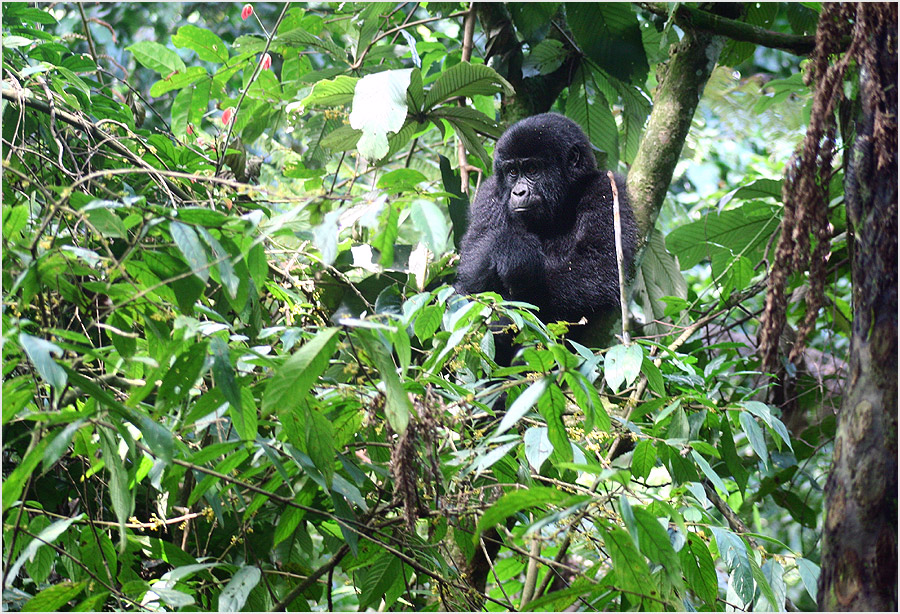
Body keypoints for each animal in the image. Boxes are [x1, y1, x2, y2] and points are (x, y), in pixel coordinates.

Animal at [454, 112, 636, 356]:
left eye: (532, 170)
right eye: (513, 172)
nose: (518, 192)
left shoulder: (607, 188)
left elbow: (601, 263)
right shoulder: (489, 194)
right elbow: (470, 272)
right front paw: (511, 248)